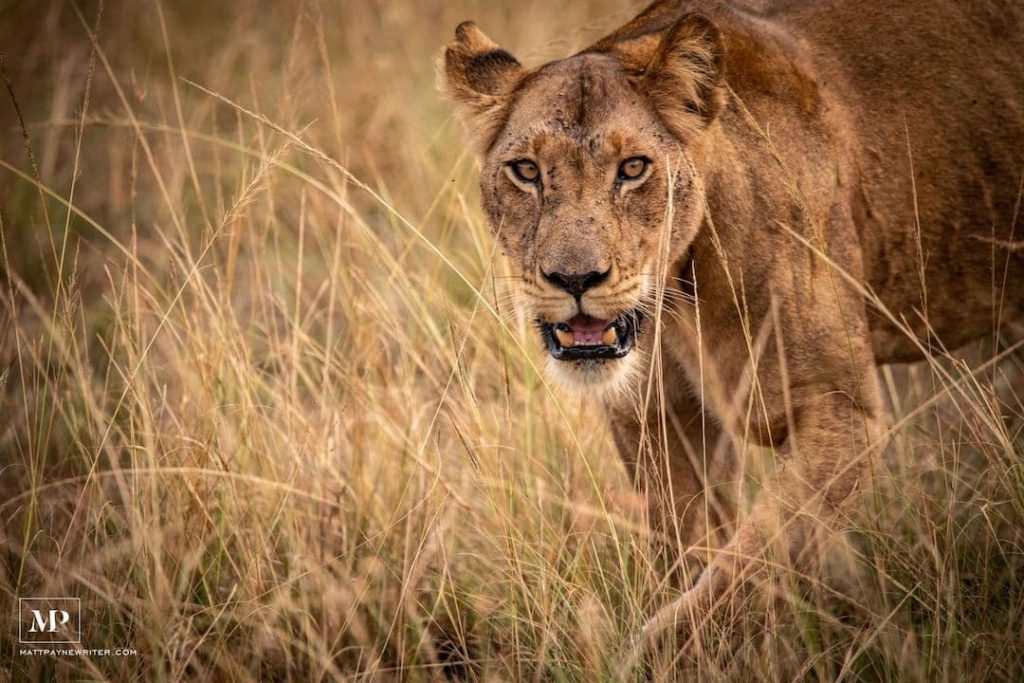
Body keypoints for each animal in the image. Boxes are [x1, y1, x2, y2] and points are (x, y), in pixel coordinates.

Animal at [440, 0, 1024, 634]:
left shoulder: (842, 409)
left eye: (633, 168)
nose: (575, 280)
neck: (679, 297)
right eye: (525, 171)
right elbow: (692, 552)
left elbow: (743, 575)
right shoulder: (656, 418)